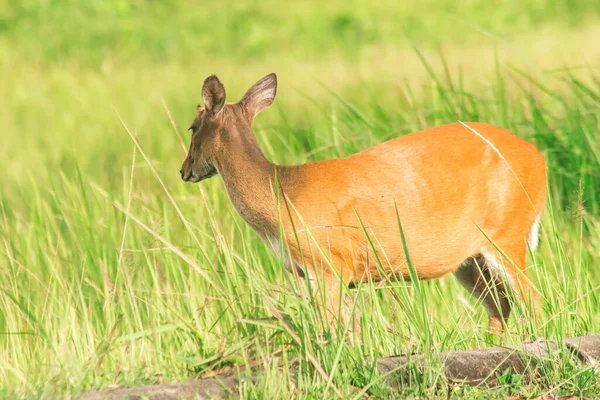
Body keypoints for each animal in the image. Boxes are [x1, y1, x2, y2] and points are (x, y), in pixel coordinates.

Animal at [179, 72, 548, 338]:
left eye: (192, 127)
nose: (184, 170)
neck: (280, 194)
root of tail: (539, 158)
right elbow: (351, 328)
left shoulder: (329, 264)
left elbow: (331, 330)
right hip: (469, 259)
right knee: (500, 306)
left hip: (507, 231)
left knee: (533, 300)